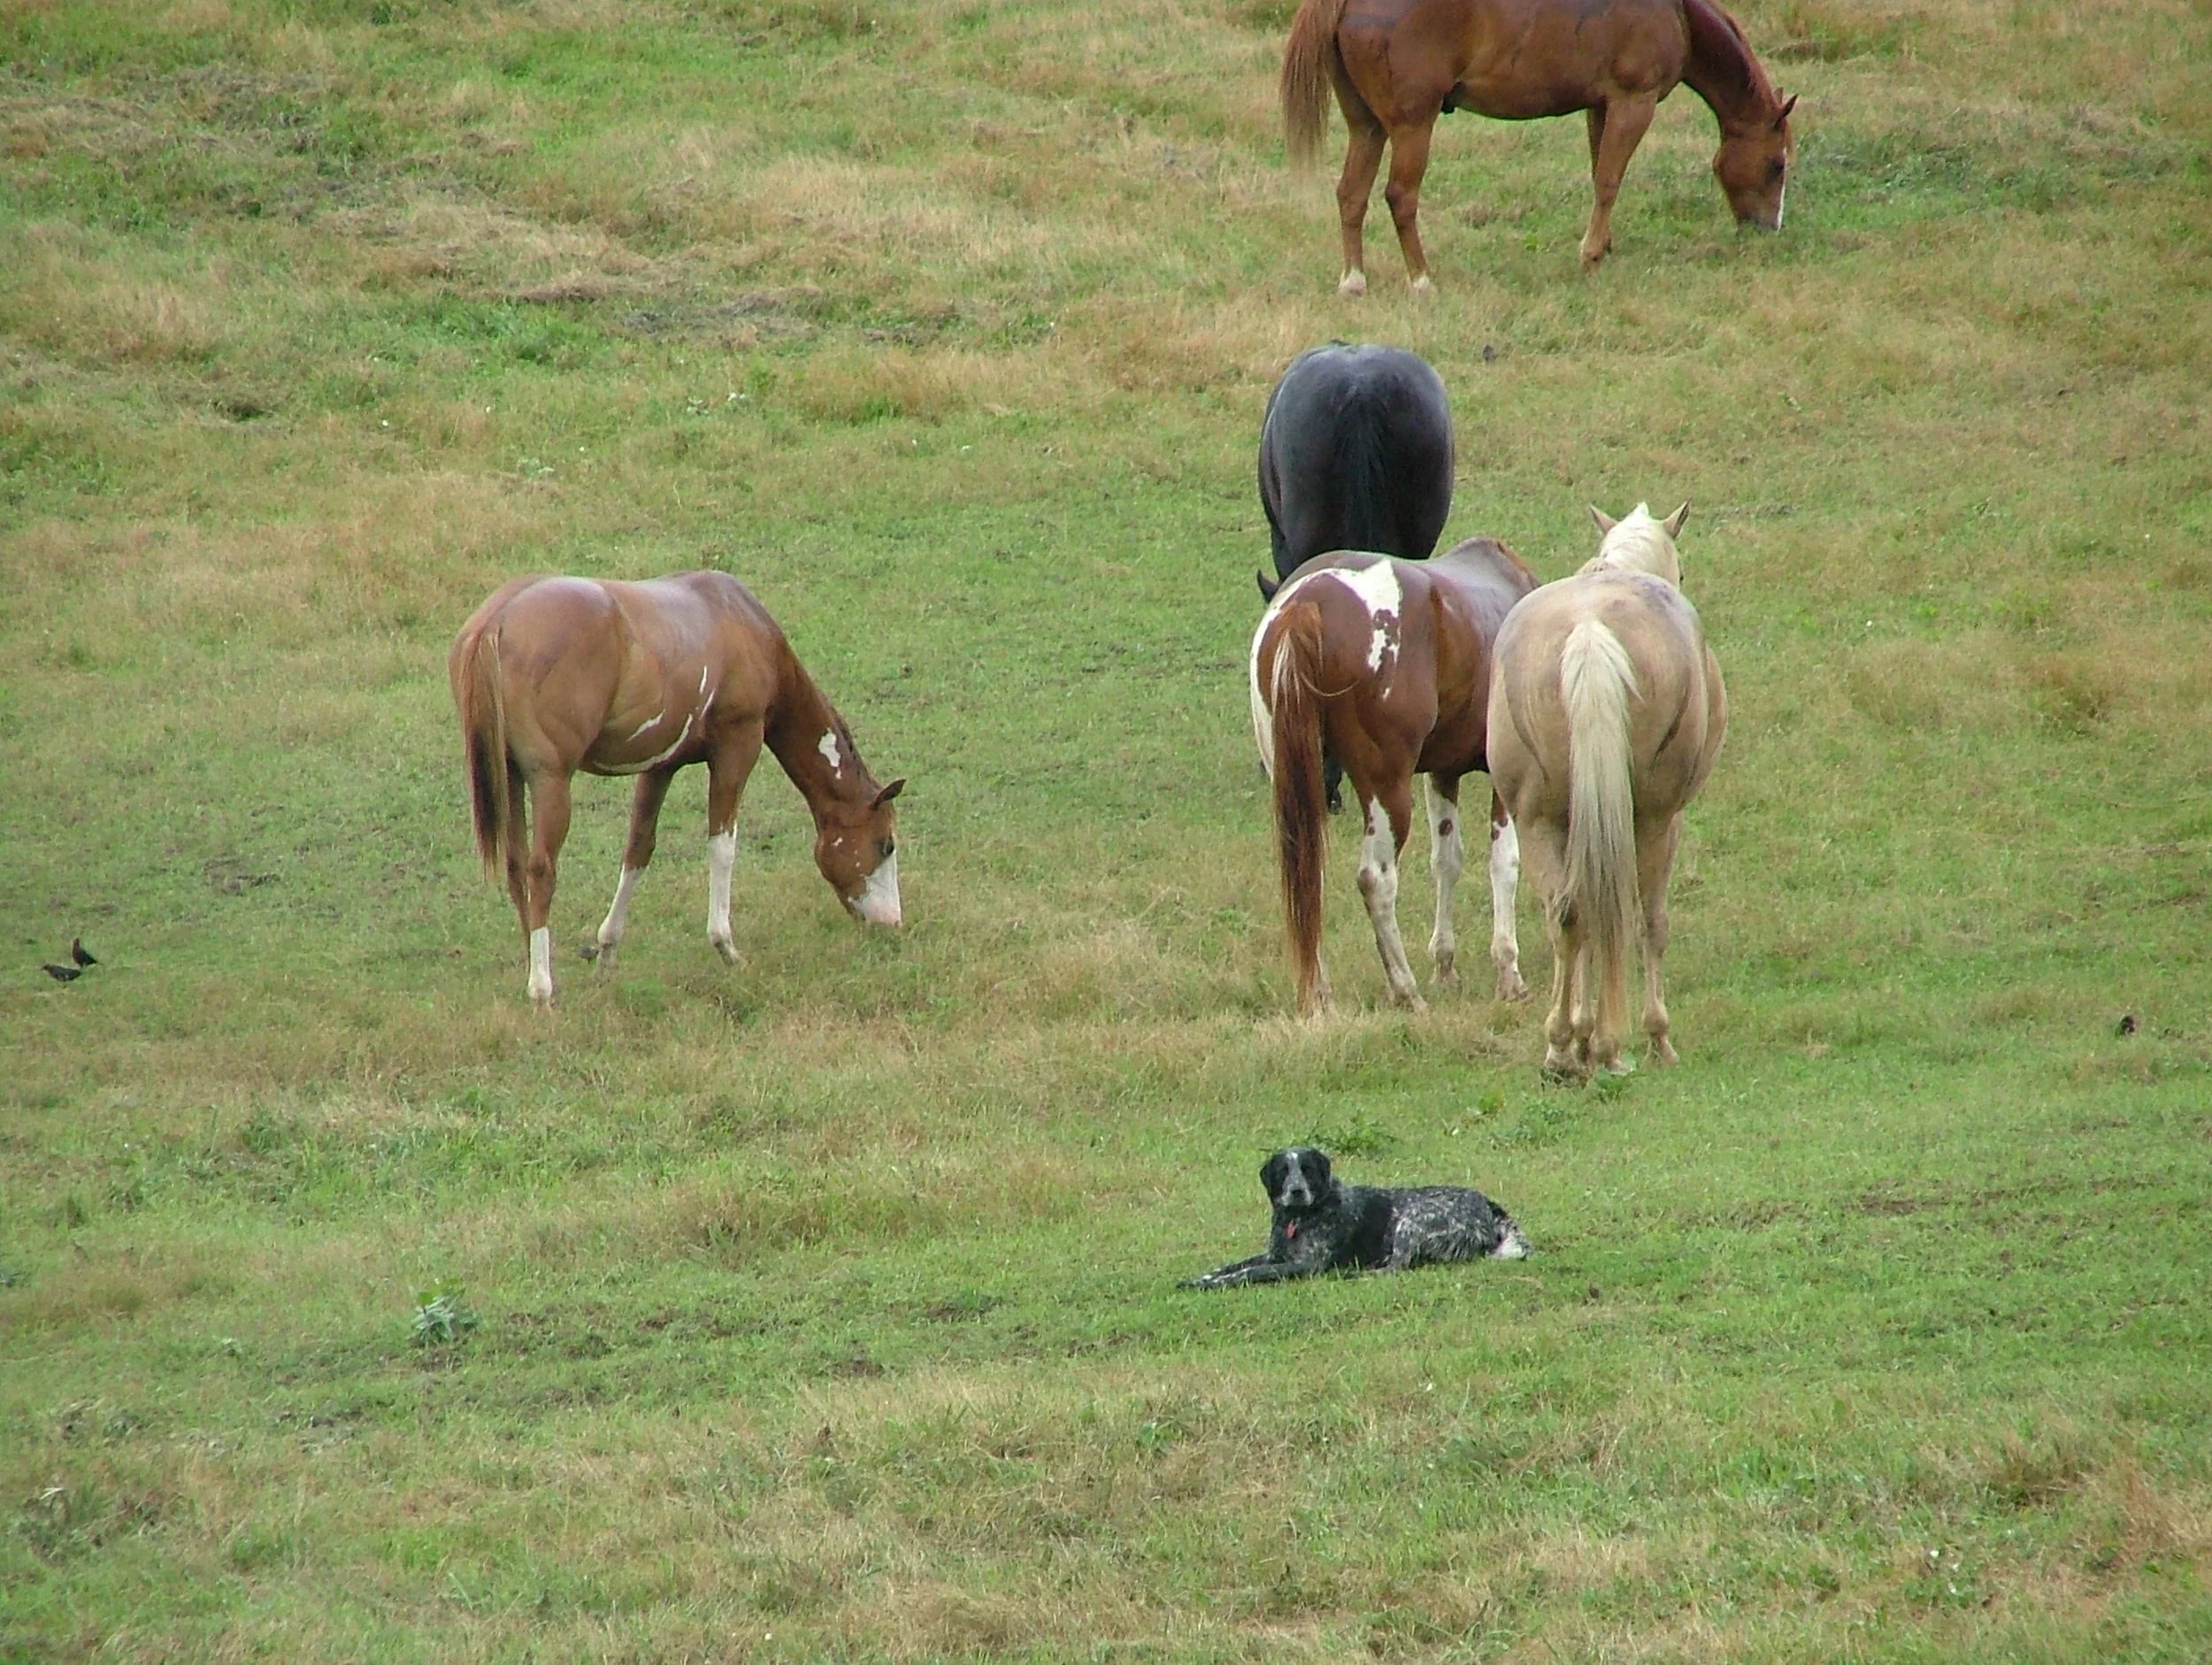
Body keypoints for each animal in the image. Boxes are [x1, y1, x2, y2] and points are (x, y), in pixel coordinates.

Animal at [449, 571, 904, 1008]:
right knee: (540, 871)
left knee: (516, 868)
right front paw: (727, 948)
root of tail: (495, 622)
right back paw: (542, 989)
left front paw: (607, 954)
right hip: (550, 781)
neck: (741, 623)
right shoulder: (736, 748)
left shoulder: (660, 767)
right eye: (886, 845)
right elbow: (722, 847)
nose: (892, 924)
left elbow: (638, 850)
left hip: (510, 778)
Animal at [1249, 536, 1539, 1017]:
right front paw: (1509, 975)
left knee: (1308, 875)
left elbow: (1447, 862)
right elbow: (1504, 863)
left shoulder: (1442, 773)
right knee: (1376, 879)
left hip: (1297, 784)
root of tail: (1309, 601)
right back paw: (1405, 989)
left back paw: (1320, 994)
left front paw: (1445, 967)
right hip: (1385, 788)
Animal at [1280, 0, 1797, 293]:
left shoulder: (1600, 106)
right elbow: (1609, 180)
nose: (1768, 229)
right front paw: (1590, 254)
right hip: (1412, 127)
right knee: (1400, 198)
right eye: (1776, 165)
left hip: (1367, 127)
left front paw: (1603, 247)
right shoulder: (1634, 102)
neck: (1676, 13)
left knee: (1351, 194)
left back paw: (1353, 281)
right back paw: (1422, 280)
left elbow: (1599, 173)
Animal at [1485, 503, 1726, 1079]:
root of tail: (1590, 630)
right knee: (1635, 916)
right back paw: (1624, 1042)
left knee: (1569, 916)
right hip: (1653, 820)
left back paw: (1561, 1048)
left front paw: (1583, 1036)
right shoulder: (1664, 820)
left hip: (1536, 821)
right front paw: (1646, 1037)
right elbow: (1649, 923)